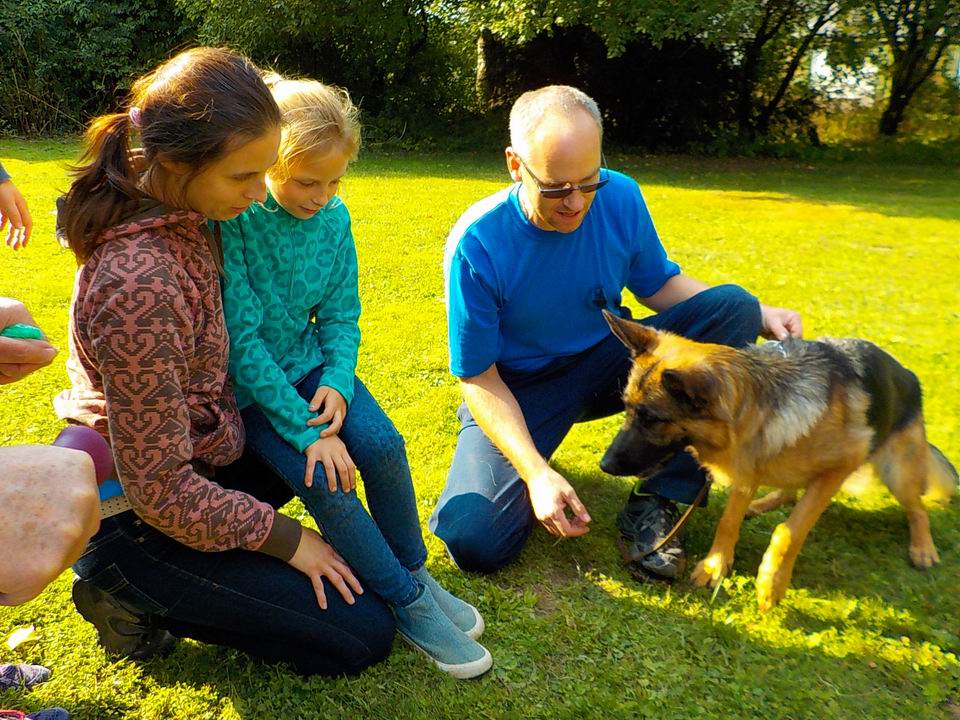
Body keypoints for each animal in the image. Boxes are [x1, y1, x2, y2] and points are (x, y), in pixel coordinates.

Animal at [600, 312, 952, 612]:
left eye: (651, 418)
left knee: (918, 510)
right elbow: (728, 521)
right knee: (788, 490)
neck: (756, 406)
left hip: (897, 471)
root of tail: (909, 376)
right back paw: (761, 504)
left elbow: (789, 530)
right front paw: (717, 565)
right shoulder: (747, 470)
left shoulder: (836, 470)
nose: (605, 465)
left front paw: (773, 583)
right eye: (627, 407)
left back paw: (923, 548)